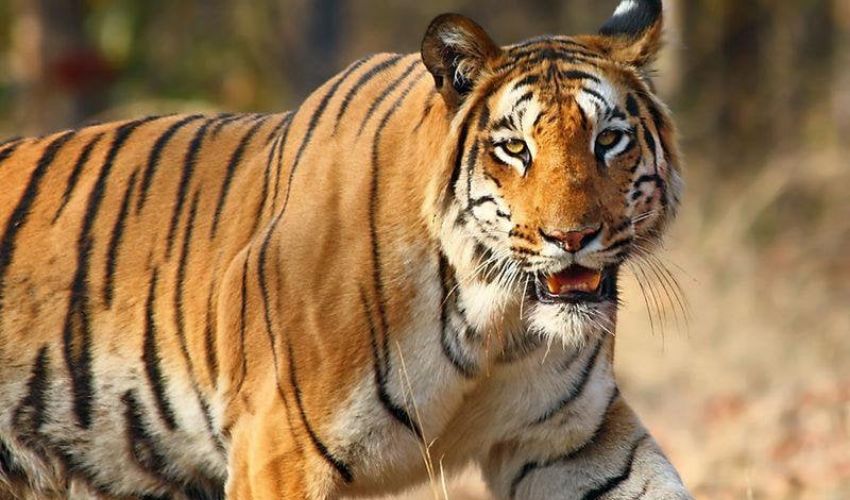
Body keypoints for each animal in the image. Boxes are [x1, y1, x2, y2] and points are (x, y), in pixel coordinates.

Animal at [0, 0, 690, 498]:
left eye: (609, 139)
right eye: (515, 148)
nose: (572, 238)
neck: (495, 323)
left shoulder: (570, 441)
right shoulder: (277, 450)